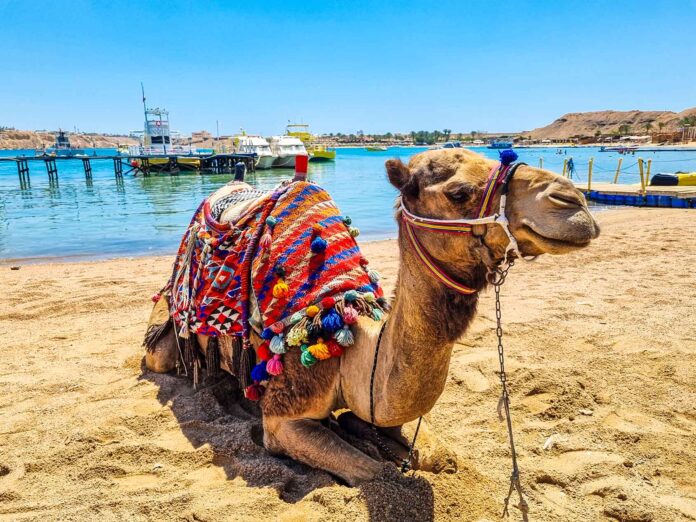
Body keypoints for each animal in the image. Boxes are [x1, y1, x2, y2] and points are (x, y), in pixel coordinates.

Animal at [145, 148, 600, 486]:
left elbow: (440, 456)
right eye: (458, 192)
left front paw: (365, 430)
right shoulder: (284, 415)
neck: (350, 339)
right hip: (165, 339)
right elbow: (378, 473)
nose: (574, 203)